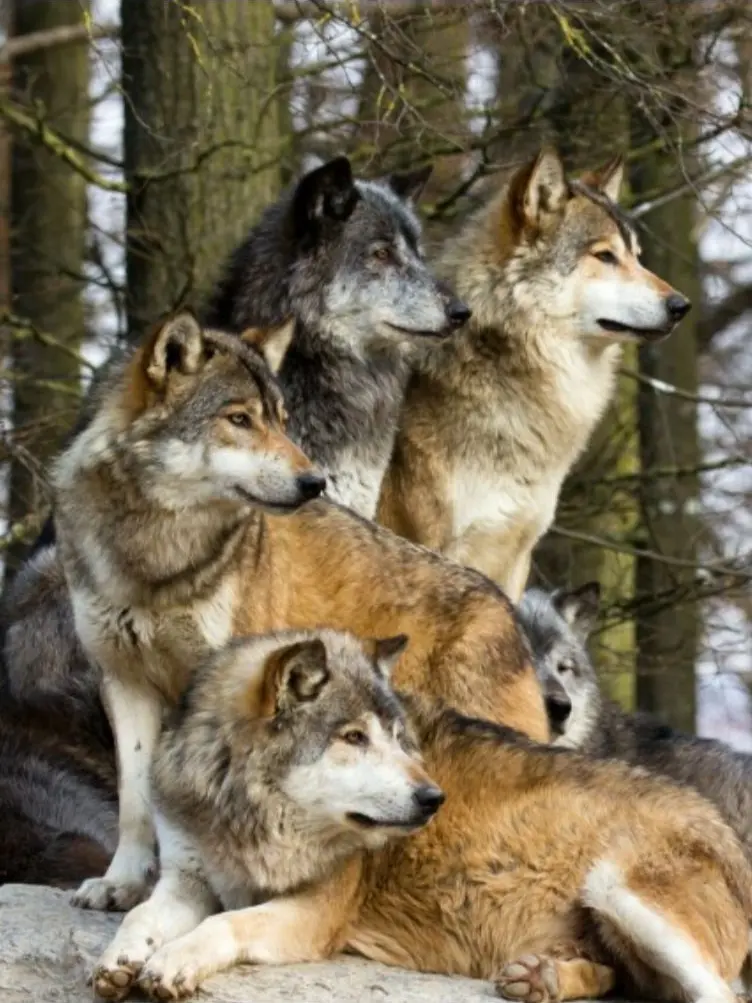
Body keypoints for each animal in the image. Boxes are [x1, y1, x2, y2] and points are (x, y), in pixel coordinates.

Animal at [53, 310, 547, 913]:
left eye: (282, 421)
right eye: (239, 419)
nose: (314, 482)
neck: (157, 558)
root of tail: (508, 609)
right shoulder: (124, 682)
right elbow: (134, 800)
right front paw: (121, 884)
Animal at [91, 637, 751, 1003]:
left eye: (399, 738)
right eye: (354, 738)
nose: (433, 798)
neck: (248, 813)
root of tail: (725, 831)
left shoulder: (315, 914)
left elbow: (224, 925)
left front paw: (172, 962)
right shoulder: (187, 879)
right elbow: (144, 918)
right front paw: (121, 962)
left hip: (619, 894)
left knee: (720, 994)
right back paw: (541, 979)